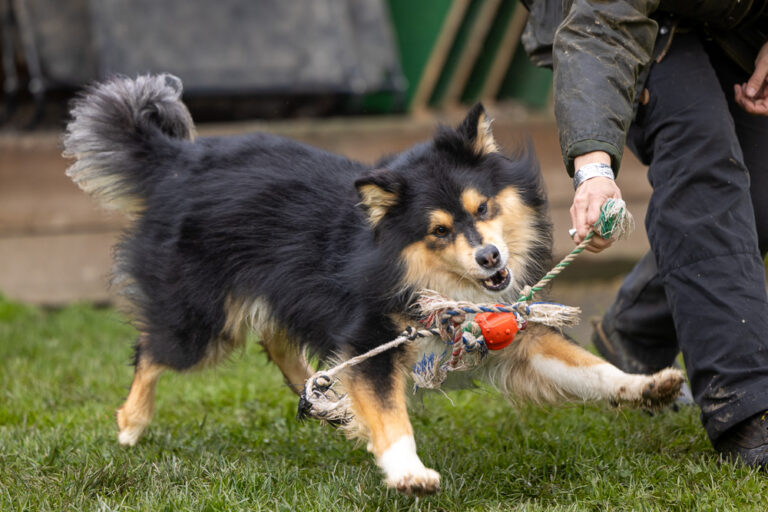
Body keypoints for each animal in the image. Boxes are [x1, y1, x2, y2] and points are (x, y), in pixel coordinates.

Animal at [61, 76, 684, 496]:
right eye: (439, 231)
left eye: (483, 207)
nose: (490, 257)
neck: (423, 273)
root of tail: (177, 159)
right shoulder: (370, 338)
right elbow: (390, 414)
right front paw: (408, 471)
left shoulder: (513, 332)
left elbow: (590, 369)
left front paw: (648, 385)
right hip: (201, 318)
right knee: (152, 349)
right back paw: (131, 424)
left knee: (281, 344)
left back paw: (327, 400)